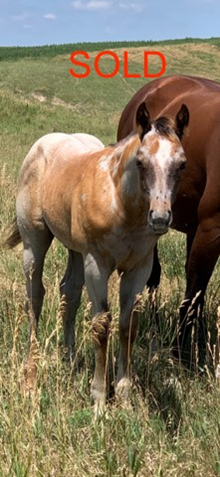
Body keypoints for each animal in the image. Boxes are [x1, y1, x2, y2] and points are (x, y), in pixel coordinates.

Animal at [5, 103, 188, 412]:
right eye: (141, 162)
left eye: (181, 164)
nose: (160, 218)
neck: (122, 206)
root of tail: (44, 143)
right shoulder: (97, 264)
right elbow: (102, 325)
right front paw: (100, 400)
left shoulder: (139, 268)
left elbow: (128, 325)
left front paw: (125, 397)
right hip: (34, 242)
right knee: (34, 298)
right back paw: (30, 377)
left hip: (76, 251)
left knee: (69, 292)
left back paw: (70, 360)